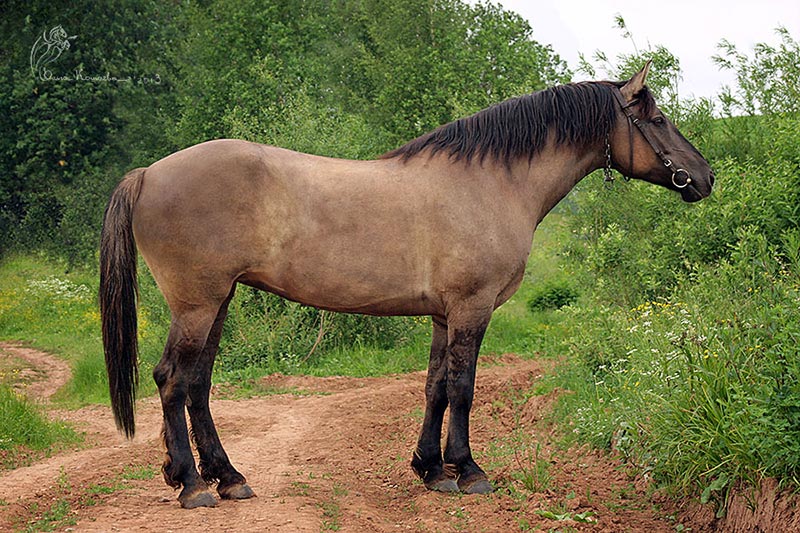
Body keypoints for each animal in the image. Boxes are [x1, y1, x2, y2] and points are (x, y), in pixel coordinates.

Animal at [98, 61, 712, 508]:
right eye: (657, 118)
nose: (705, 177)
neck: (490, 182)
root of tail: (148, 174)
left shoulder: (444, 315)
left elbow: (435, 387)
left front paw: (431, 470)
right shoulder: (471, 309)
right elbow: (463, 387)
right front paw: (469, 471)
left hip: (218, 301)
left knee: (197, 386)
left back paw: (228, 478)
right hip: (198, 305)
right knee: (172, 380)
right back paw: (192, 485)